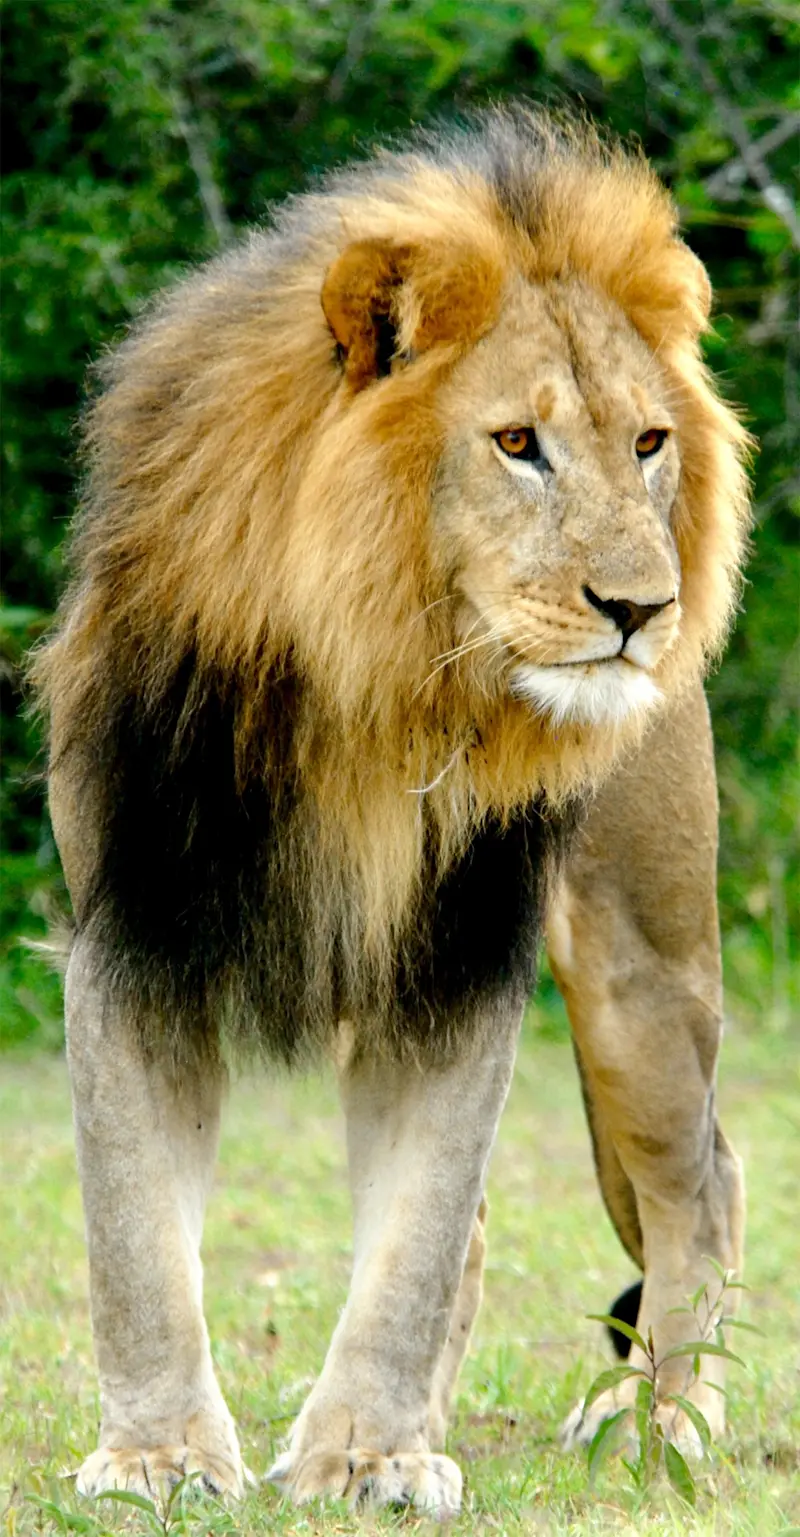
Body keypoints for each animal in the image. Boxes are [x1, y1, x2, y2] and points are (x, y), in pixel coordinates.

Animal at [33, 105, 748, 1516]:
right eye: (516, 443)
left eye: (646, 444)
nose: (641, 610)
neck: (379, 683)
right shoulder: (134, 928)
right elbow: (134, 1237)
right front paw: (160, 1456)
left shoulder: (458, 953)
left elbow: (411, 1236)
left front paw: (367, 1451)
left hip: (641, 966)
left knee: (701, 1180)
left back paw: (661, 1422)